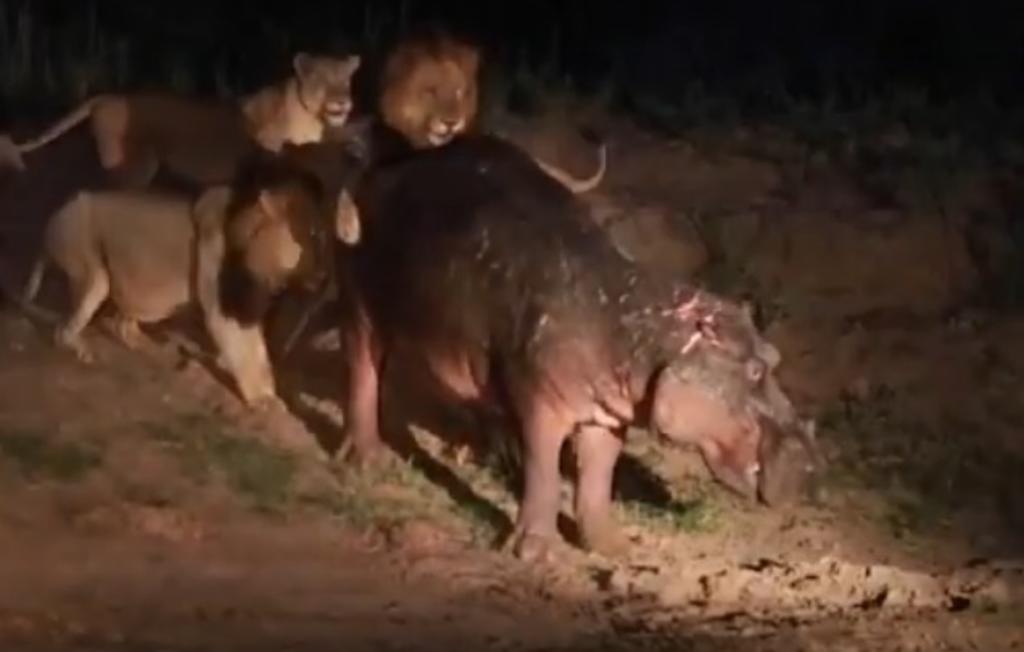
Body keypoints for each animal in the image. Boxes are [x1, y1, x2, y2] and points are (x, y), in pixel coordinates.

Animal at [0, 52, 361, 189]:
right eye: (323, 80)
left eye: (345, 80)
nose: (344, 101)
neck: (311, 118)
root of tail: (105, 96)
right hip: (134, 164)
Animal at [18, 156, 360, 407]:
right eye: (313, 235)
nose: (326, 277)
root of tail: (53, 217)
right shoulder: (229, 307)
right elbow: (249, 351)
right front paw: (264, 399)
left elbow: (259, 353)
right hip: (92, 271)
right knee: (62, 330)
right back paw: (82, 349)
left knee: (121, 322)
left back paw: (141, 343)